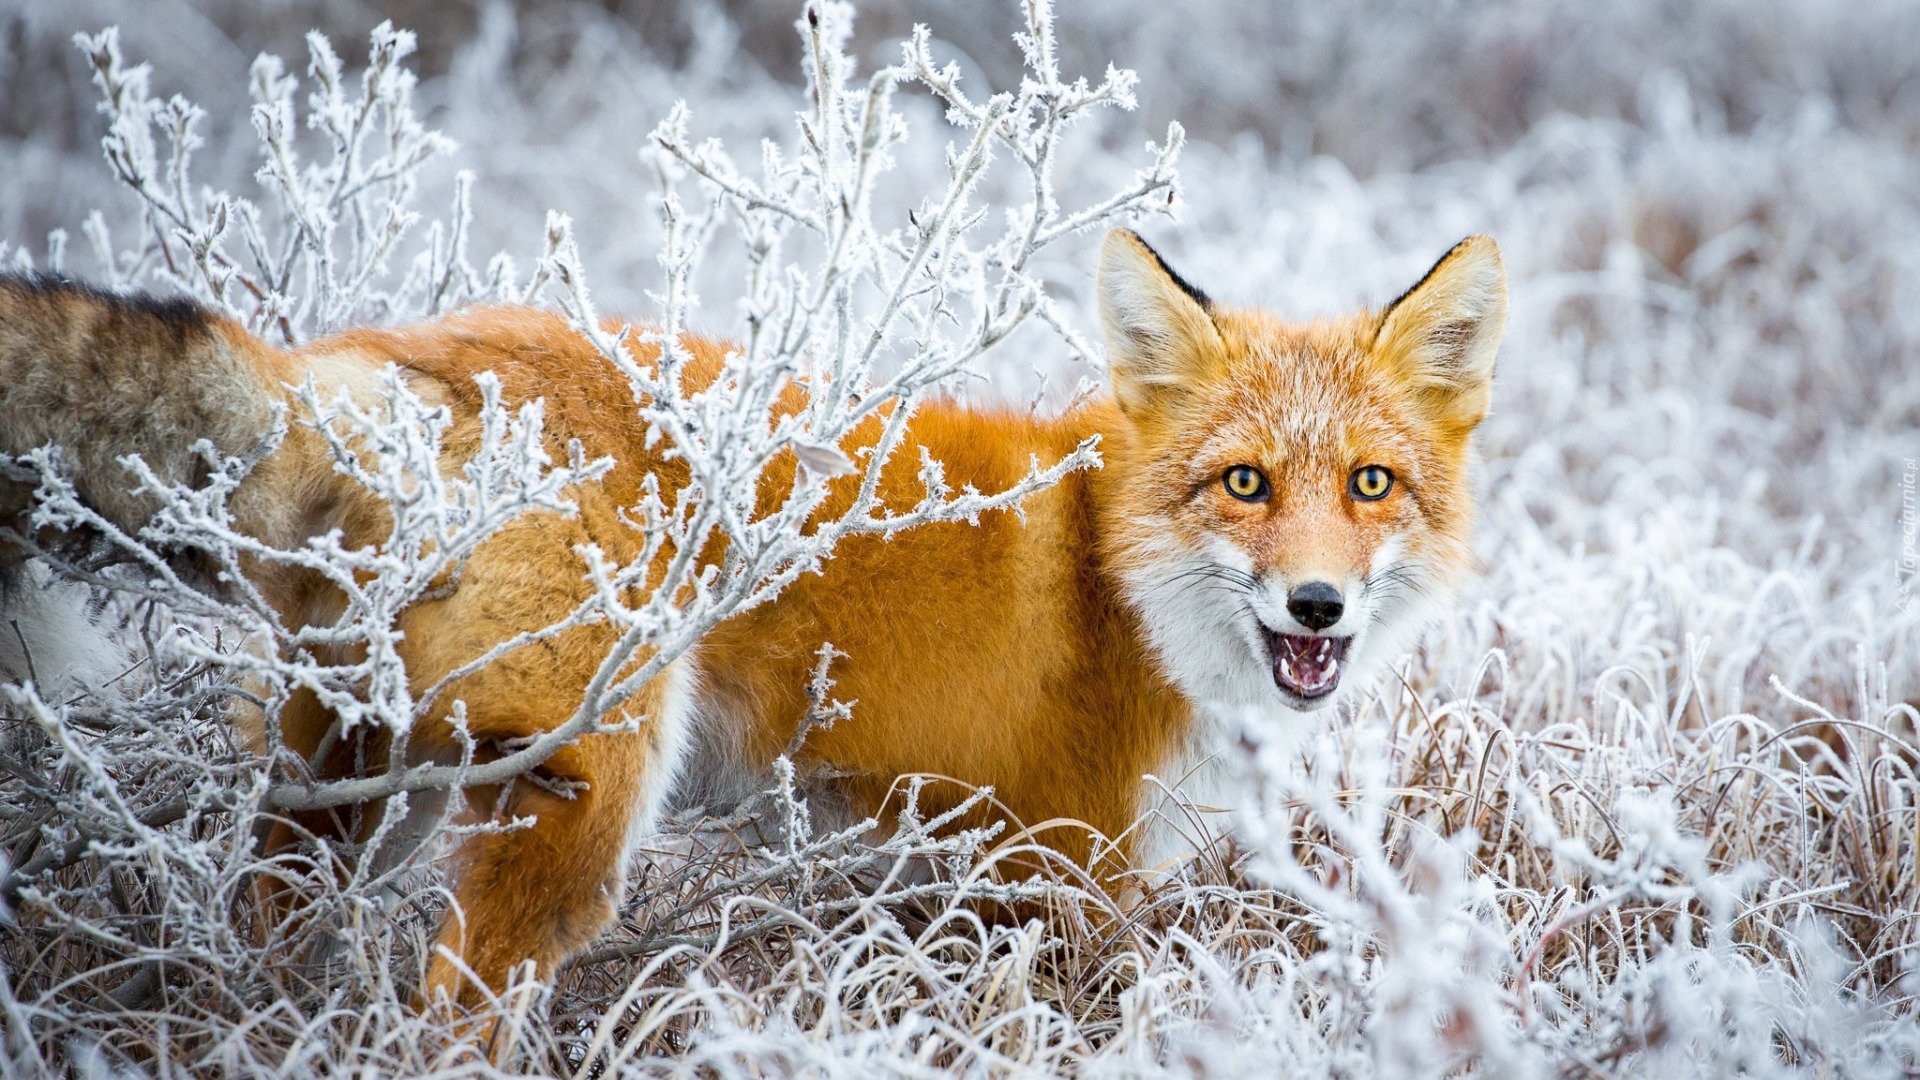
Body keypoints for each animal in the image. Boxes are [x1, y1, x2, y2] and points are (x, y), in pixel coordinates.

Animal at [0, 228, 1497, 1006]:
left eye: (1369, 486)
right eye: (1244, 484)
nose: (1318, 601)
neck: (1115, 581)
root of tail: (405, 356)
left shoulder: (957, 878)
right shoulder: (1056, 874)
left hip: (358, 781)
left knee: (260, 927)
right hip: (576, 809)